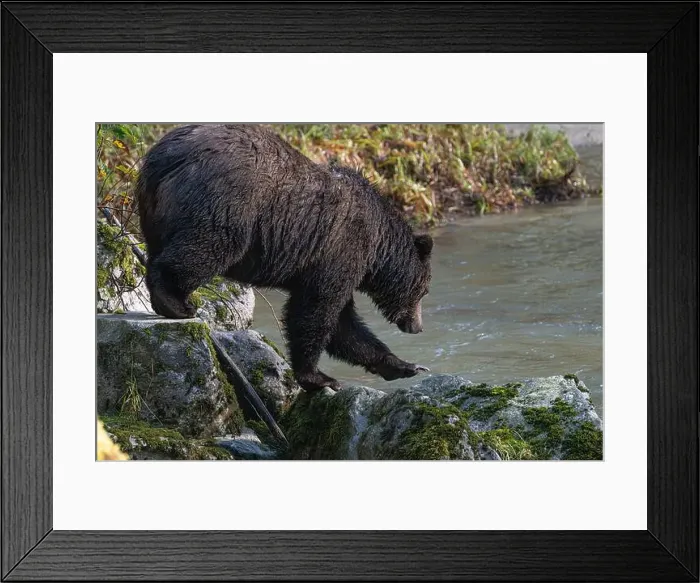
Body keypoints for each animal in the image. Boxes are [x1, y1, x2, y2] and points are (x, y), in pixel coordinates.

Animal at [137, 124, 432, 392]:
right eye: (424, 291)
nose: (418, 326)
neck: (378, 247)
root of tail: (166, 157)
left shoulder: (328, 260)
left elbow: (343, 323)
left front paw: (404, 365)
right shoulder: (341, 249)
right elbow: (317, 309)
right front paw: (319, 377)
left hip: (153, 209)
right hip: (225, 202)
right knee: (206, 246)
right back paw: (176, 303)